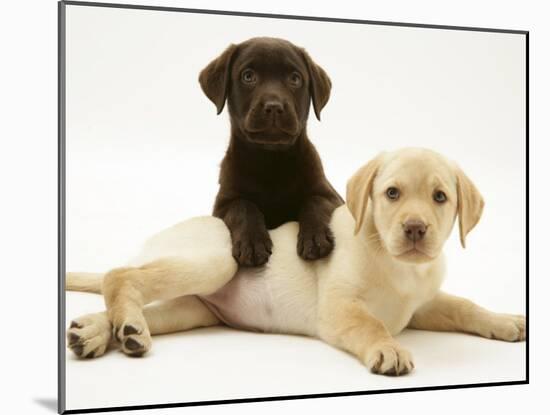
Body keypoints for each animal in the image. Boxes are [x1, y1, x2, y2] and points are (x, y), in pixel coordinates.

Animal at [67, 148, 528, 376]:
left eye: (440, 197)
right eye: (392, 193)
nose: (415, 229)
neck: (401, 268)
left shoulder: (423, 304)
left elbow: (464, 306)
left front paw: (504, 321)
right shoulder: (338, 309)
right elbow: (370, 324)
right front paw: (388, 348)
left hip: (193, 308)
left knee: (126, 305)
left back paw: (100, 332)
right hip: (216, 260)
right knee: (119, 276)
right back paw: (125, 327)